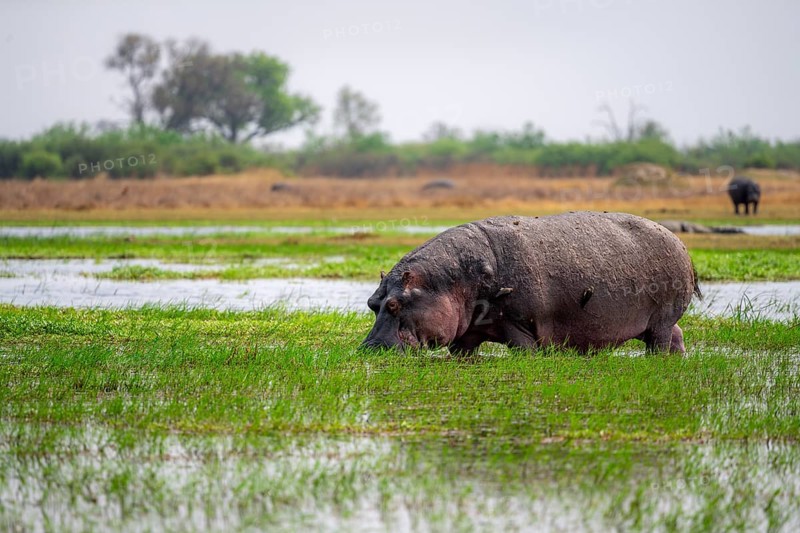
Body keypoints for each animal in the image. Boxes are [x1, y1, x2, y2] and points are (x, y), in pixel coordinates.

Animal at [361, 212, 701, 355]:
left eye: (395, 304)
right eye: (372, 303)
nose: (370, 349)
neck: (451, 281)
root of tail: (678, 240)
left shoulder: (520, 326)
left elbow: (524, 352)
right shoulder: (466, 336)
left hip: (660, 320)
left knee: (660, 343)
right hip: (656, 323)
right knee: (677, 336)